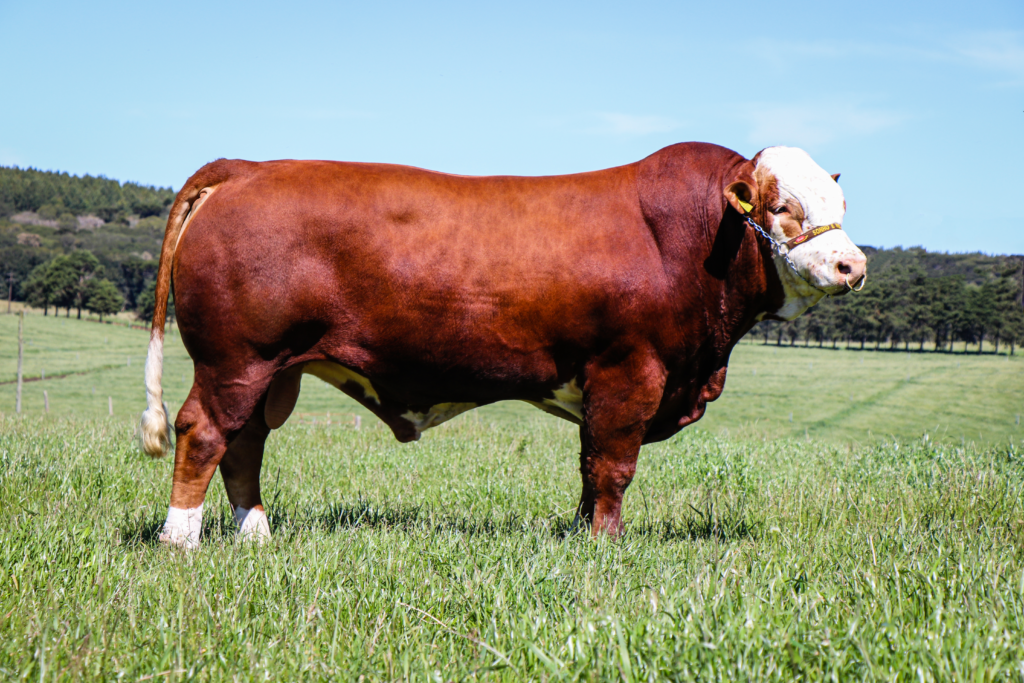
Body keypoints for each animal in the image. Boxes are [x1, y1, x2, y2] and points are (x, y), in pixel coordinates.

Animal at [142, 141, 864, 548]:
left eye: (842, 206)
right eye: (782, 207)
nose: (852, 265)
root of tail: (246, 169)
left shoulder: (602, 385)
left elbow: (589, 464)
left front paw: (581, 532)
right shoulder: (630, 371)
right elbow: (614, 466)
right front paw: (606, 546)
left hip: (271, 370)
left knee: (245, 444)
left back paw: (255, 534)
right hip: (236, 359)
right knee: (204, 432)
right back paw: (180, 541)